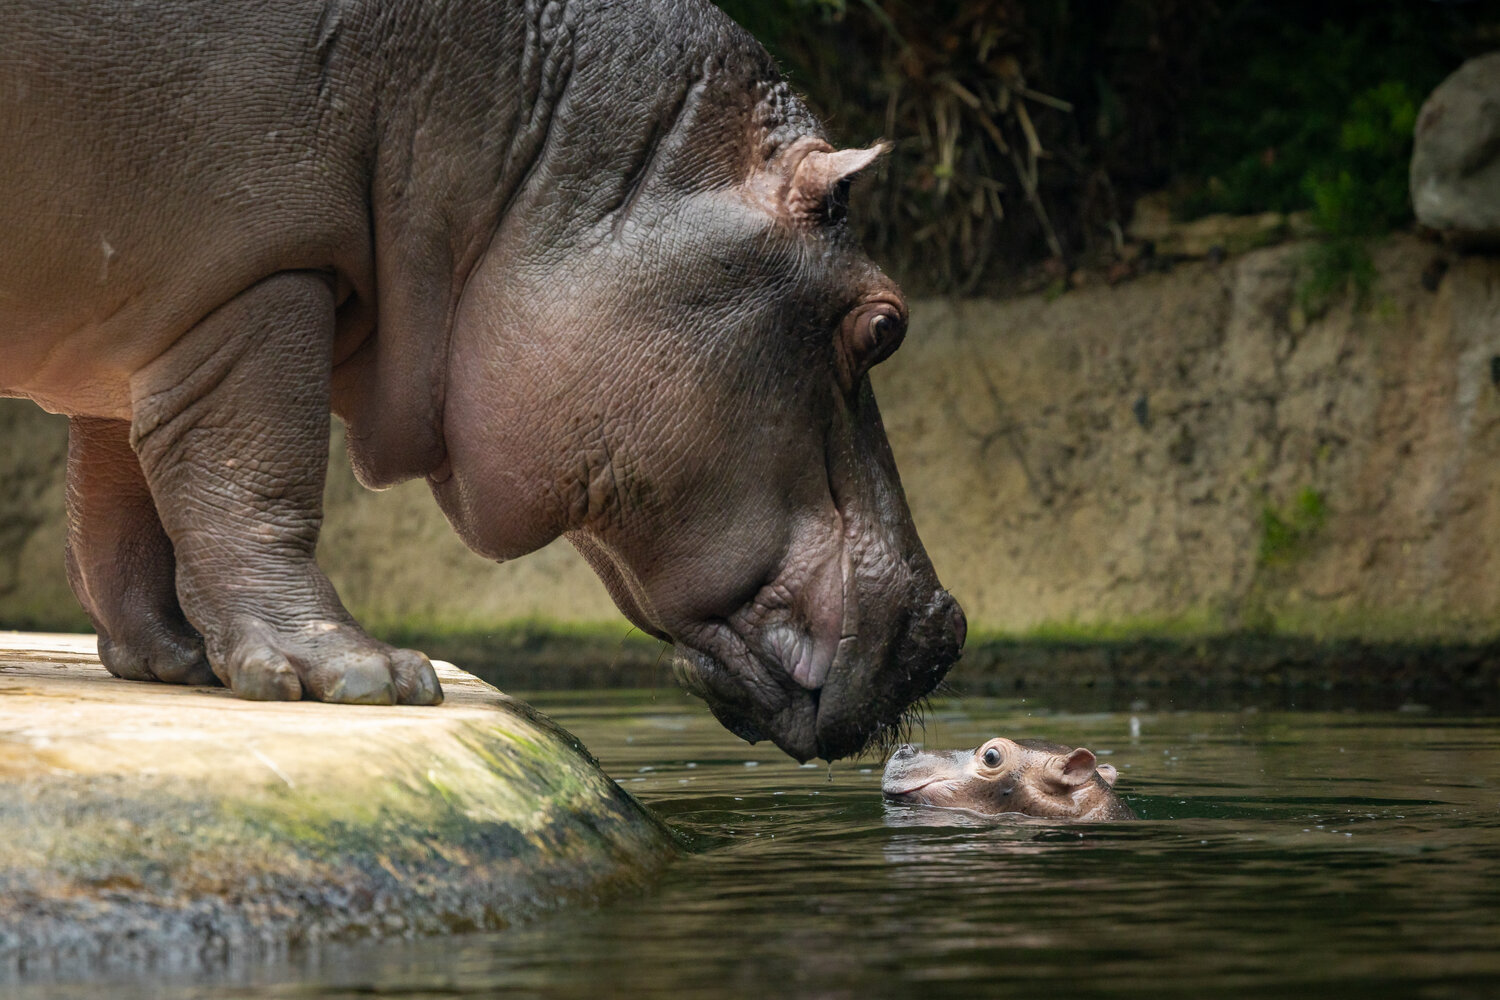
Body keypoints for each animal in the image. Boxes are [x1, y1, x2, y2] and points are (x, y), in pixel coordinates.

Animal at [0, 0, 966, 762]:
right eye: (886, 325)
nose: (946, 626)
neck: (523, 140)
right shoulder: (254, 274)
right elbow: (254, 478)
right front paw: (362, 675)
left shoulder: (145, 317)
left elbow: (119, 501)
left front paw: (176, 662)